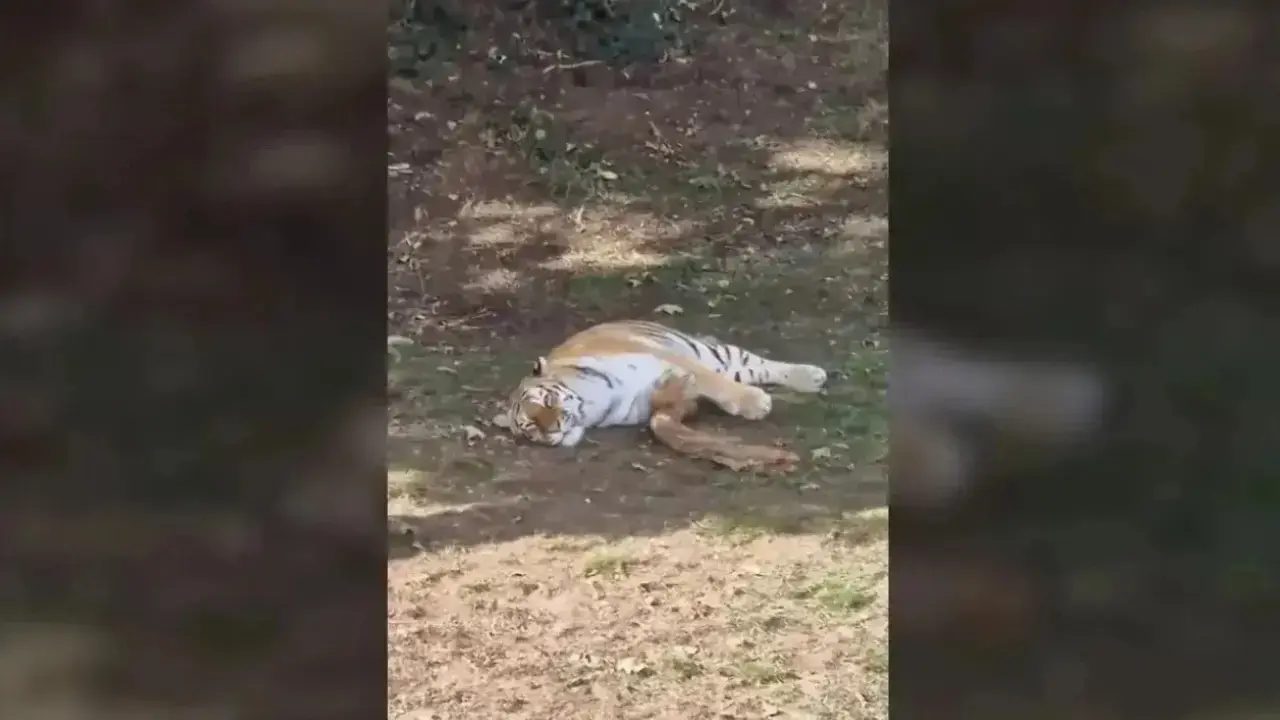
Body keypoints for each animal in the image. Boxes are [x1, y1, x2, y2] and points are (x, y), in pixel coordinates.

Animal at [495, 320, 830, 447]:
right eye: (531, 427)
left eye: (547, 402)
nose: (553, 430)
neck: (594, 407)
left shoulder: (664, 356)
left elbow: (710, 380)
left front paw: (755, 403)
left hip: (710, 352)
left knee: (756, 364)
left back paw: (811, 375)